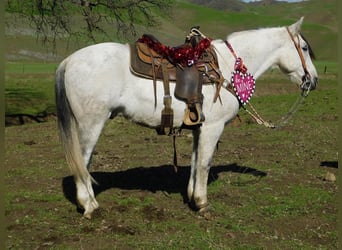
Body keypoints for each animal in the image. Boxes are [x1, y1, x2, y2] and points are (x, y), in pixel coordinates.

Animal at [55, 16, 318, 218]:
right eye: (304, 48)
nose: (313, 81)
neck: (226, 67)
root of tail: (69, 60)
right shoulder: (213, 127)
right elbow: (204, 164)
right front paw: (202, 204)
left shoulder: (199, 127)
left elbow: (194, 162)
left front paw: (192, 196)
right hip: (91, 124)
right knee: (82, 161)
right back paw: (89, 206)